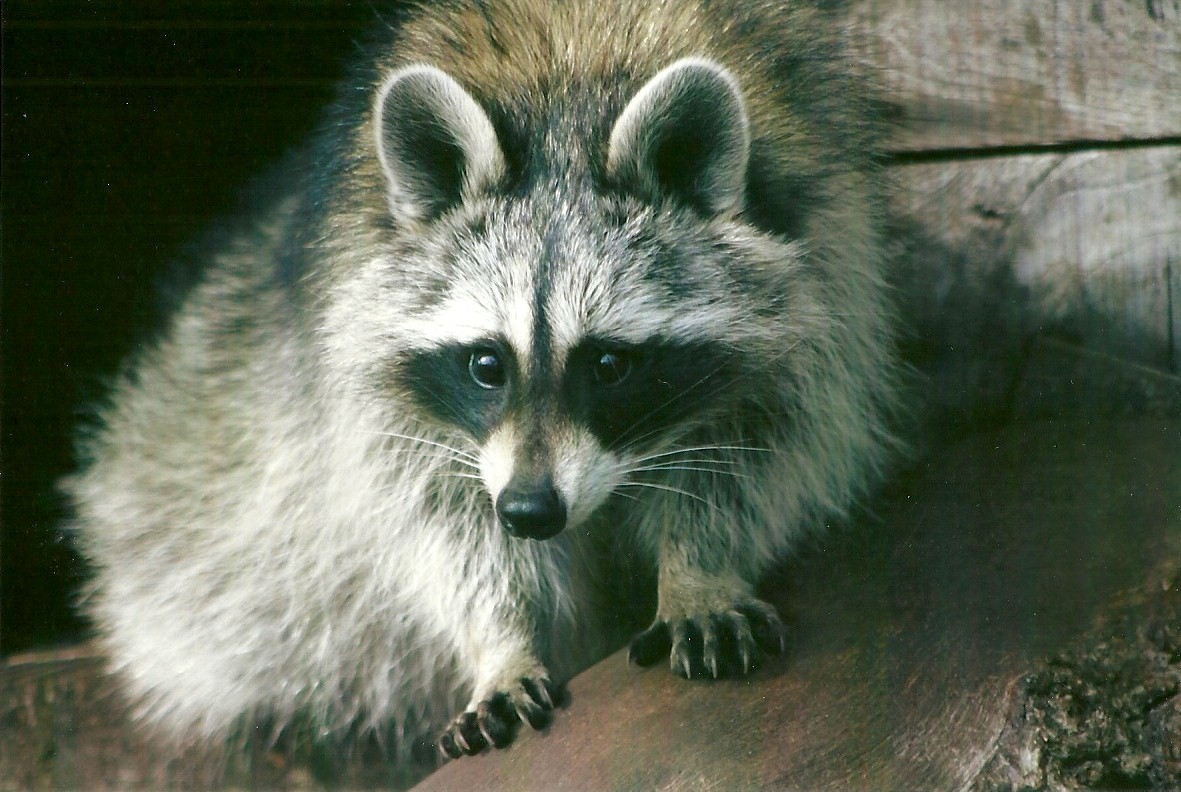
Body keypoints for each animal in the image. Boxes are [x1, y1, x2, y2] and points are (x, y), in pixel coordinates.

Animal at [66, 0, 897, 767]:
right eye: (486, 365)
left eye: (607, 365)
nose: (529, 510)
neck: (567, 94)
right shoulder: (371, 350)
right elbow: (444, 520)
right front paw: (501, 640)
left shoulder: (822, 272)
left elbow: (755, 447)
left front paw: (698, 566)